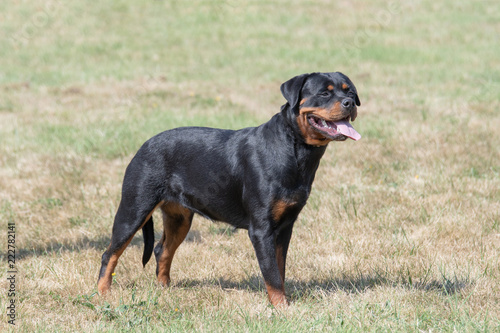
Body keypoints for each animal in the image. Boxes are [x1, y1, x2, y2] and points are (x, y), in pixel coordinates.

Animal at [97, 71, 362, 304]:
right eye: (324, 93)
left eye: (350, 91)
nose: (350, 103)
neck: (293, 148)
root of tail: (143, 145)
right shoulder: (261, 229)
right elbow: (272, 274)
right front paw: (281, 308)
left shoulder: (285, 226)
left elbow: (280, 268)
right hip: (134, 209)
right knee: (110, 253)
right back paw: (102, 294)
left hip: (179, 217)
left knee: (162, 250)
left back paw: (163, 290)